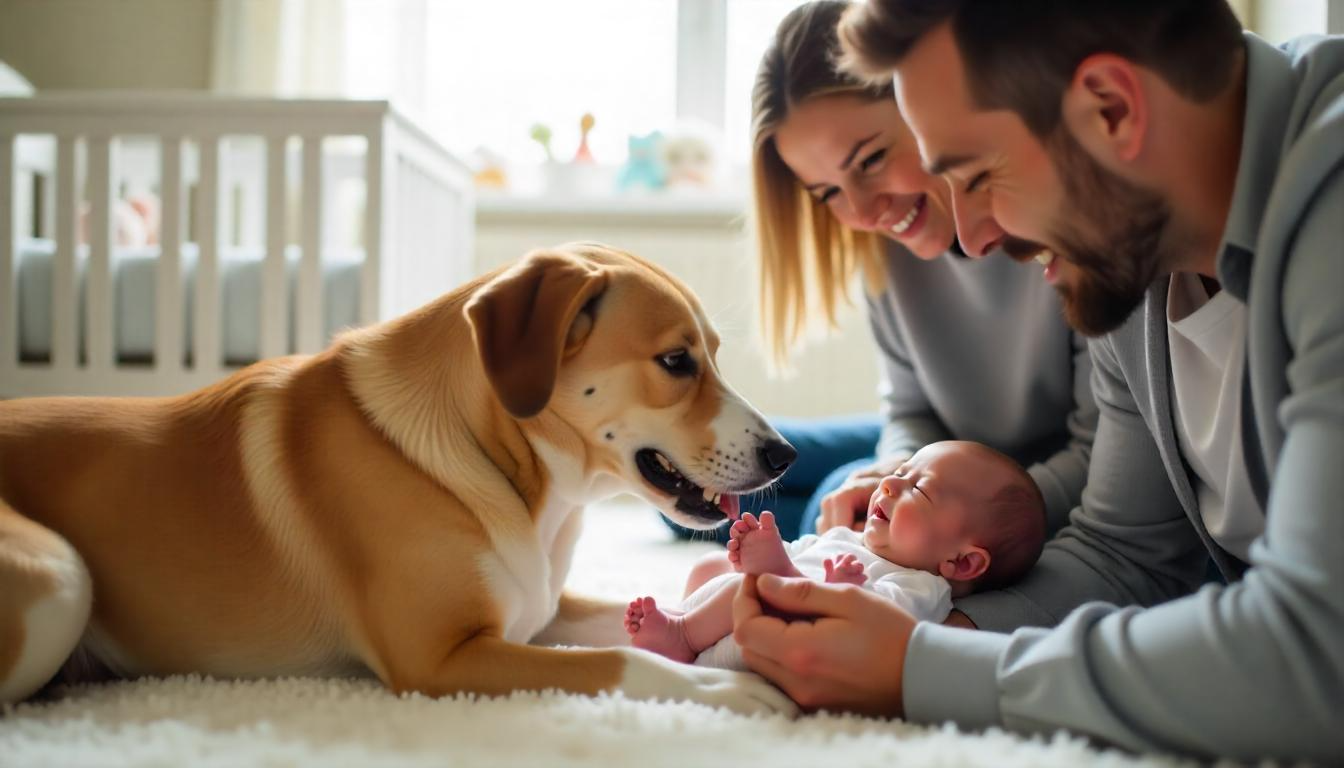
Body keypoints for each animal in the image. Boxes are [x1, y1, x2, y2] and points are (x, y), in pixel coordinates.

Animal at [0, 244, 795, 715]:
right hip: (63, 575)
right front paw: (729, 685)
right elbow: (619, 660)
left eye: (712, 355)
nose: (784, 454)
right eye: (675, 362)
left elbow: (642, 615)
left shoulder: (538, 606)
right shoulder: (440, 660)